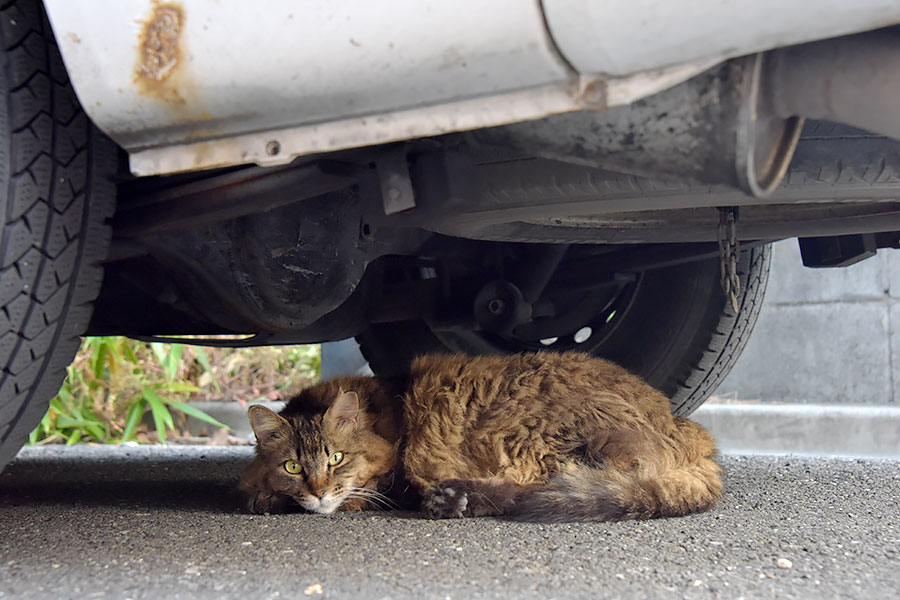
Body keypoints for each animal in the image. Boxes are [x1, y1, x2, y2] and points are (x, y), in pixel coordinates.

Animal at [241, 352, 724, 520]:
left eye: (336, 459)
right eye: (293, 466)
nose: (319, 491)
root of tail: (690, 433)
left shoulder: (394, 475)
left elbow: (362, 494)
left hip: (539, 441)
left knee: (537, 491)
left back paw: (452, 500)